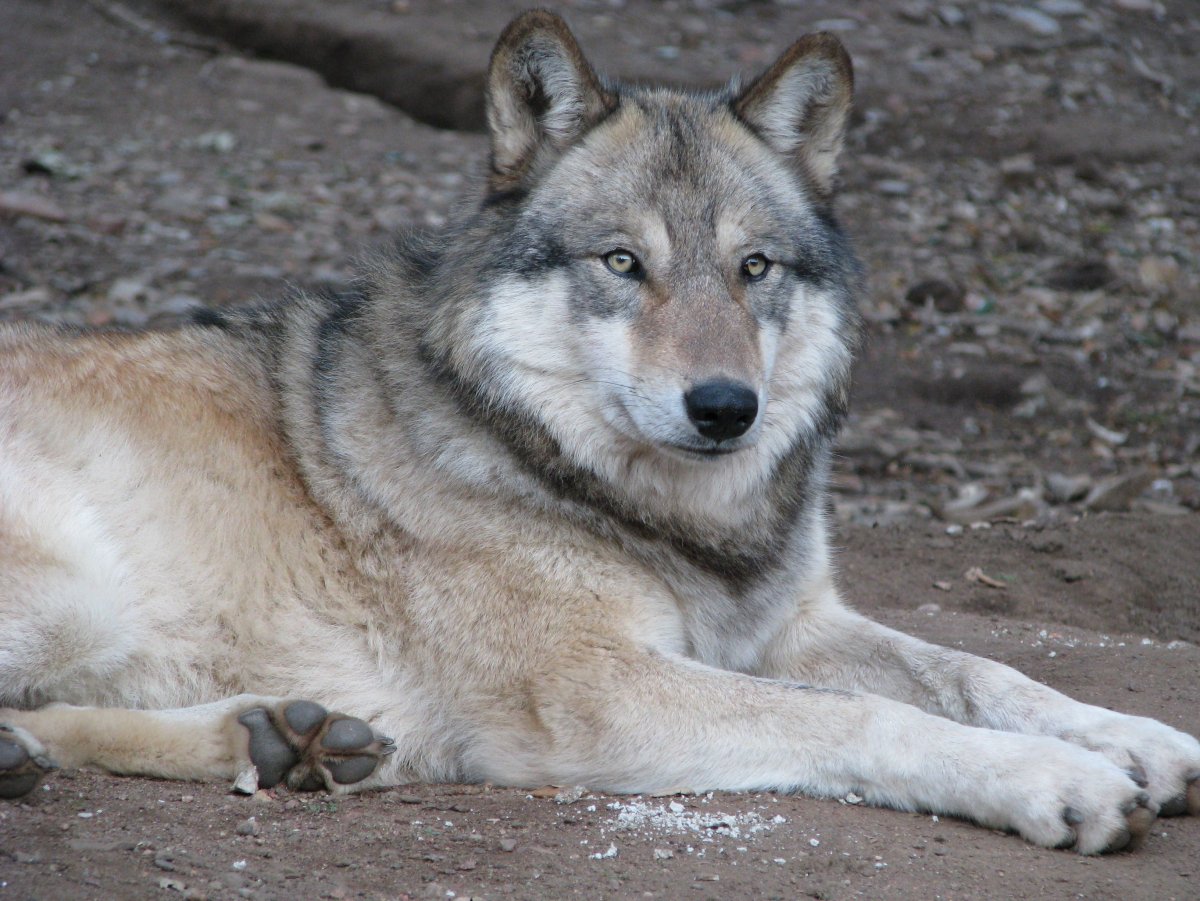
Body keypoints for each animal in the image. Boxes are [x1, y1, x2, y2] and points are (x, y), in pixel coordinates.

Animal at [0, 8, 1195, 854]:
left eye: (753, 267)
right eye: (624, 263)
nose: (725, 406)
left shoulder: (790, 622)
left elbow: (984, 672)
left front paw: (1138, 741)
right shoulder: (598, 690)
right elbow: (865, 715)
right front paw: (1056, 780)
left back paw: (280, 741)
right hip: (76, 593)